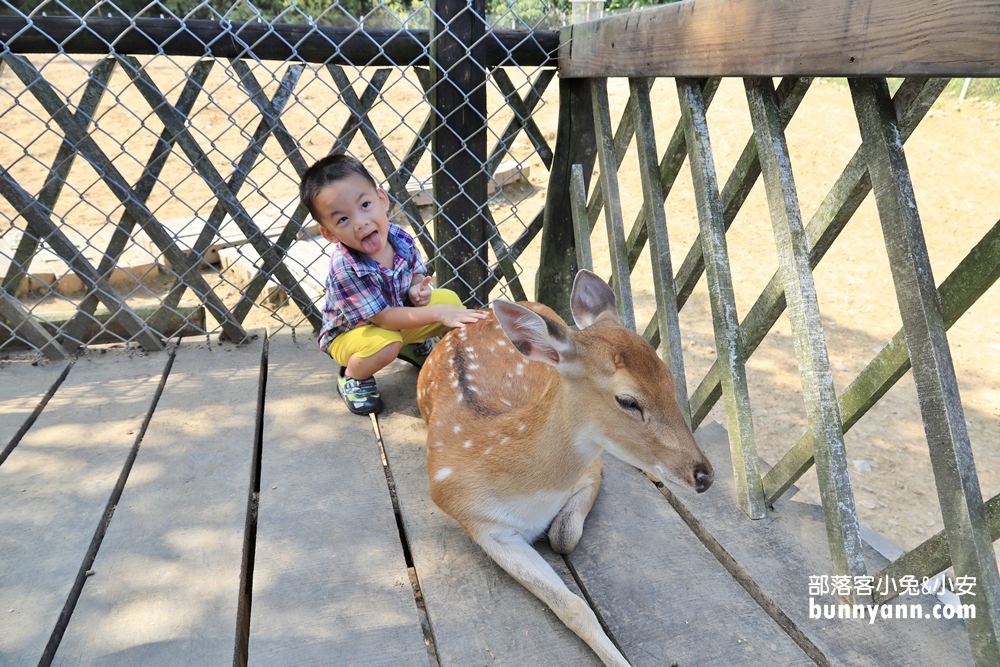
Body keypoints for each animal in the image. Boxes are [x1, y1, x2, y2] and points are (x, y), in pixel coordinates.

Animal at [418, 268, 716, 664]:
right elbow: (573, 607)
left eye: (670, 378)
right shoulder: (477, 522)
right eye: (627, 400)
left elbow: (564, 536)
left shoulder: (592, 469)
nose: (704, 475)